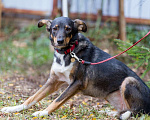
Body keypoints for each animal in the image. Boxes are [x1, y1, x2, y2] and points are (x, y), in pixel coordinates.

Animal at [1, 16, 150, 119]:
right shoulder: (53, 81)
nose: (60, 41)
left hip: (129, 81)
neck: (67, 52)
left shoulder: (77, 83)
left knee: (136, 112)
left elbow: (57, 100)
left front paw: (42, 112)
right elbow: (32, 98)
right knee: (125, 111)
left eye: (68, 29)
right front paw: (14, 108)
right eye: (54, 28)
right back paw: (108, 112)